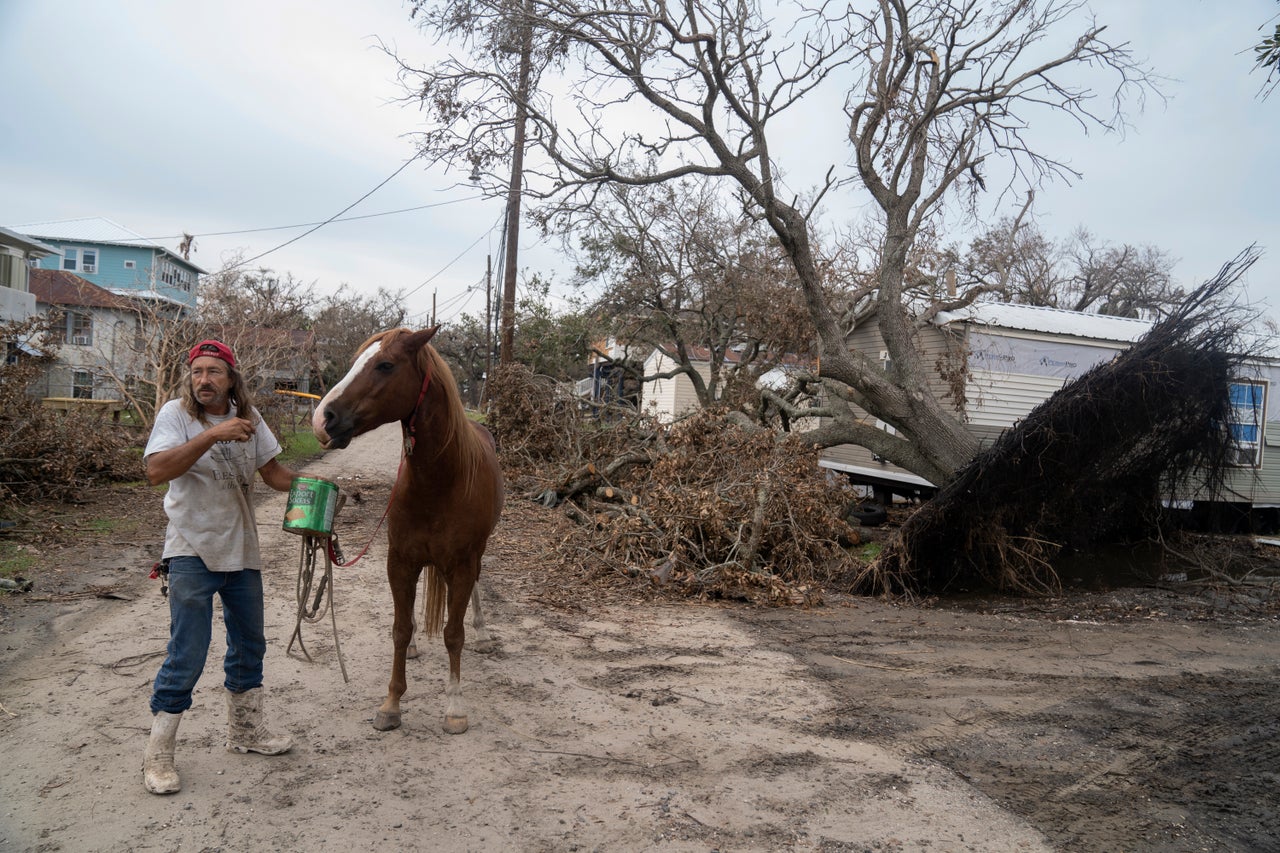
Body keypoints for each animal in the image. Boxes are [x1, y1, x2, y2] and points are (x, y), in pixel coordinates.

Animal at [312, 325, 501, 732]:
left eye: (385, 365)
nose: (322, 418)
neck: (440, 480)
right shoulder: (399, 562)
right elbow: (399, 630)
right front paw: (391, 704)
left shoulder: (462, 565)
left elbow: (453, 634)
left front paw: (454, 707)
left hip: (475, 557)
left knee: (475, 595)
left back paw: (483, 633)